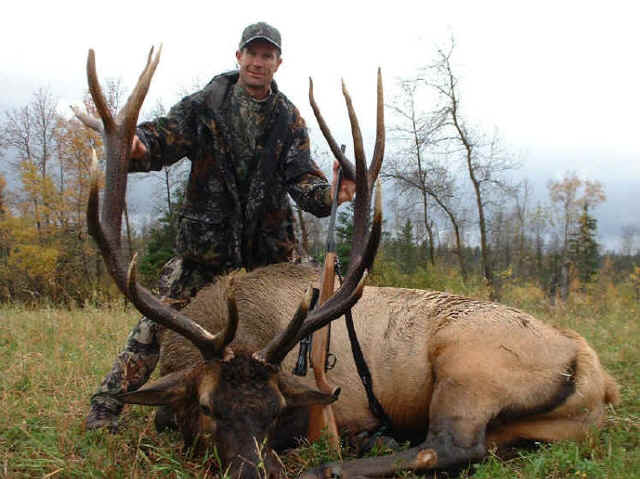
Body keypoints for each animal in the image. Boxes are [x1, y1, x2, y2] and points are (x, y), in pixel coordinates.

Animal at [78, 47, 619, 479]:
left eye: (275, 408)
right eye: (208, 407)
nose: (256, 472)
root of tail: (596, 372)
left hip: (470, 368)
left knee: (451, 447)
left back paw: (331, 467)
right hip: (539, 426)